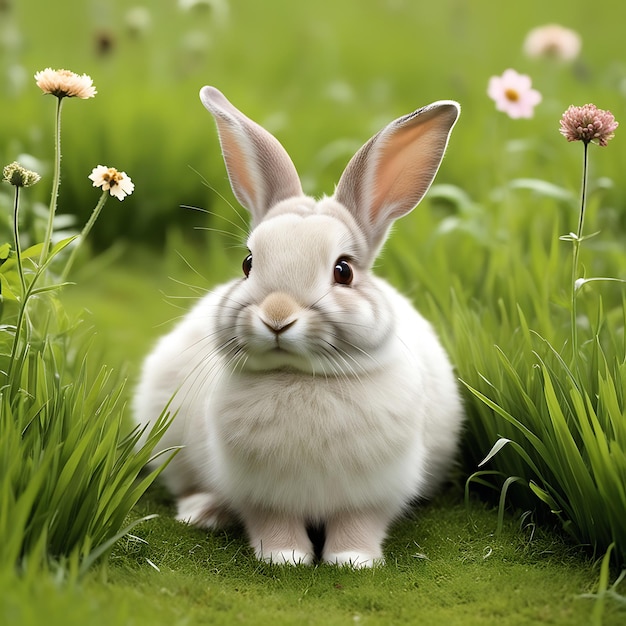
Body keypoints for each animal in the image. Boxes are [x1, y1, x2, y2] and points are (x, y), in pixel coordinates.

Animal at [133, 85, 464, 568]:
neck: (299, 376)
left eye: (343, 271)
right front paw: (284, 557)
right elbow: (271, 521)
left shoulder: (374, 495)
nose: (276, 316)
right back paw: (204, 512)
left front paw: (353, 560)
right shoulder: (260, 494)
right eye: (248, 263)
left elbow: (359, 524)